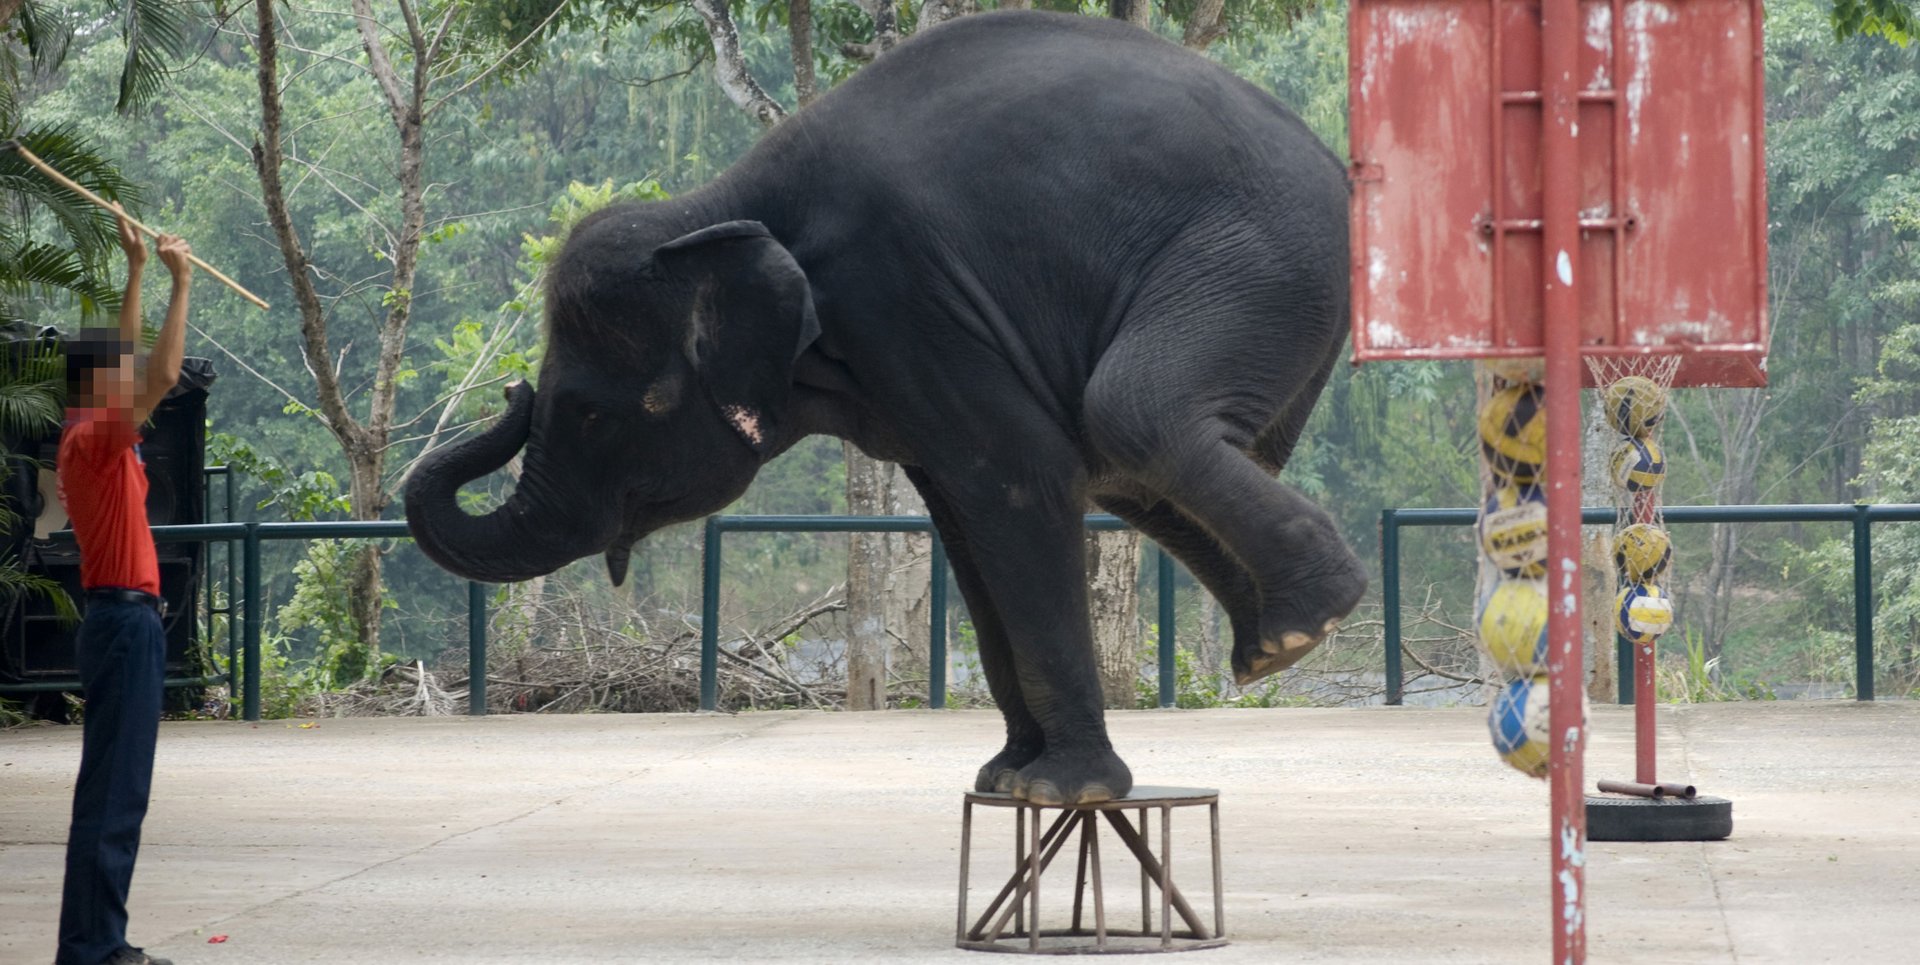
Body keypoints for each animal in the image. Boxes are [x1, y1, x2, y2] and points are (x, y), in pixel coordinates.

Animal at [405, 9, 1367, 809]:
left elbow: (1019, 481)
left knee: (1129, 413)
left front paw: (1060, 791)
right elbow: (966, 518)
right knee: (1131, 466)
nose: (509, 389)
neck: (718, 208)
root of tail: (1336, 166)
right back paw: (1271, 643)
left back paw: (1306, 625)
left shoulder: (908, 295)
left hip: (1257, 259)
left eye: (590, 414)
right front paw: (1004, 776)